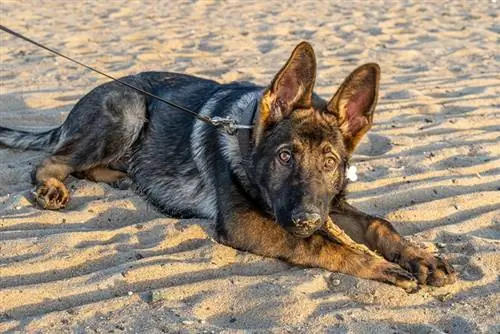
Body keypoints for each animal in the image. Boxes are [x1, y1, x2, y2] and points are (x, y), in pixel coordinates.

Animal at [0, 42, 456, 292]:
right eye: (285, 156)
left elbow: (379, 224)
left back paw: (118, 175)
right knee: (52, 160)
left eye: (330, 162)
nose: (306, 219)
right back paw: (54, 187)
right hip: (128, 109)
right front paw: (380, 266)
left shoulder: (331, 204)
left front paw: (420, 257)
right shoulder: (244, 223)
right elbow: (322, 246)